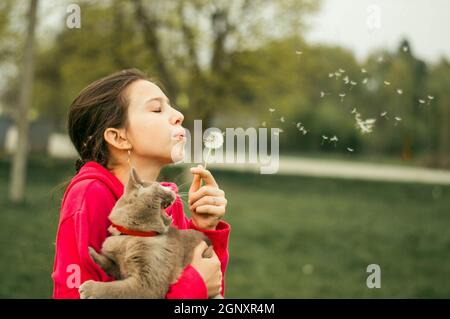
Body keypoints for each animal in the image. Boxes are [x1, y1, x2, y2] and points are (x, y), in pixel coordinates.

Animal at [80, 169, 223, 298]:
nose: (172, 189)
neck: (130, 236)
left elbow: (116, 289)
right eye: (159, 185)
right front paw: (91, 253)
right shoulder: (120, 268)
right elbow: (109, 264)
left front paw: (89, 289)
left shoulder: (147, 284)